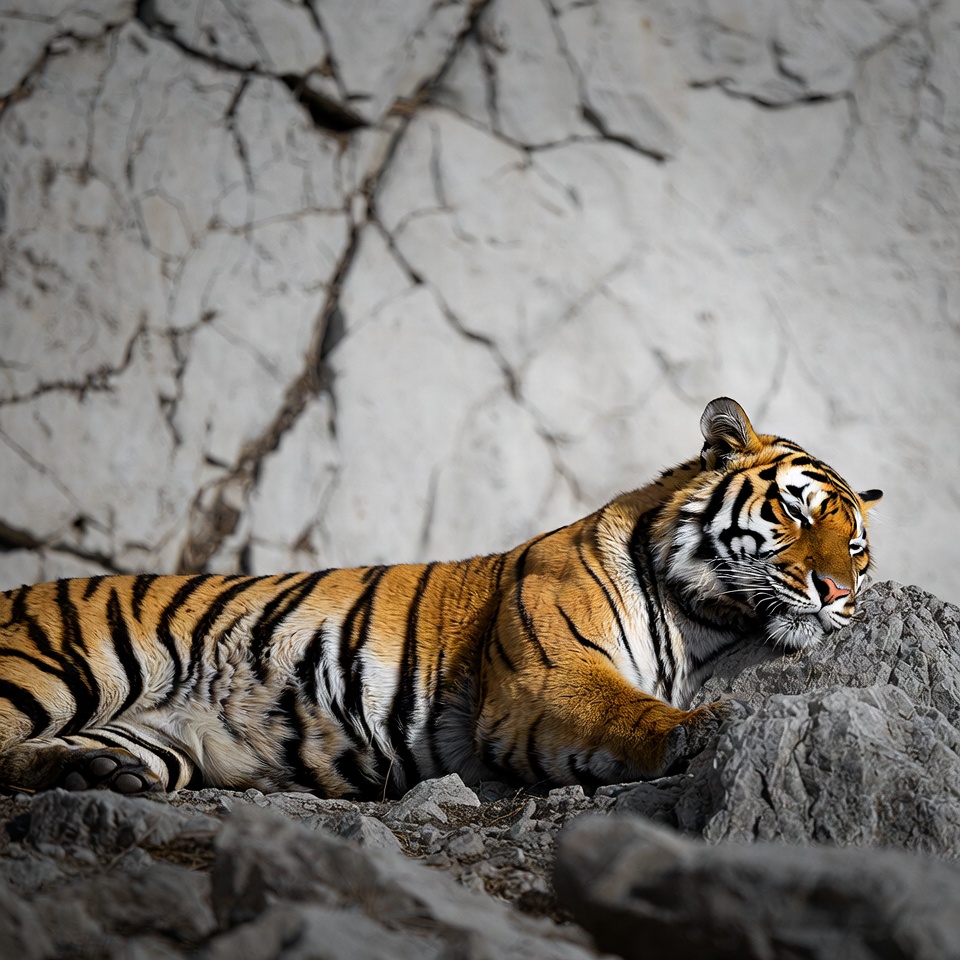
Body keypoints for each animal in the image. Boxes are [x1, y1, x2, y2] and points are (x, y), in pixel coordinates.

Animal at [0, 397, 881, 799]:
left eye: (856, 544)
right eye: (797, 513)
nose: (838, 590)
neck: (702, 617)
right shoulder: (545, 679)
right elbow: (629, 710)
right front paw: (703, 729)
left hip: (158, 738)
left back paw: (98, 776)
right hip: (55, 667)